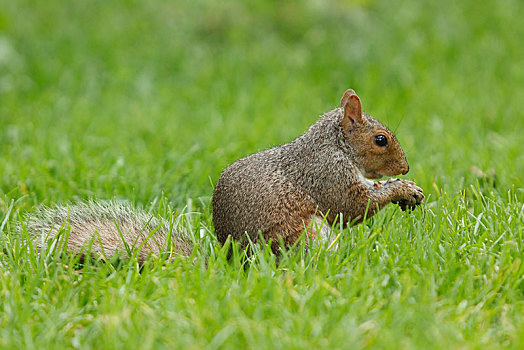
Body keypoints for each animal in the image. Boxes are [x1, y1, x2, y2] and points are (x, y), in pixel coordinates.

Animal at [25, 89, 426, 262]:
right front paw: (401, 188)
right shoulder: (325, 174)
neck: (335, 145)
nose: (405, 167)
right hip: (307, 236)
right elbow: (350, 208)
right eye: (381, 140)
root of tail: (235, 263)